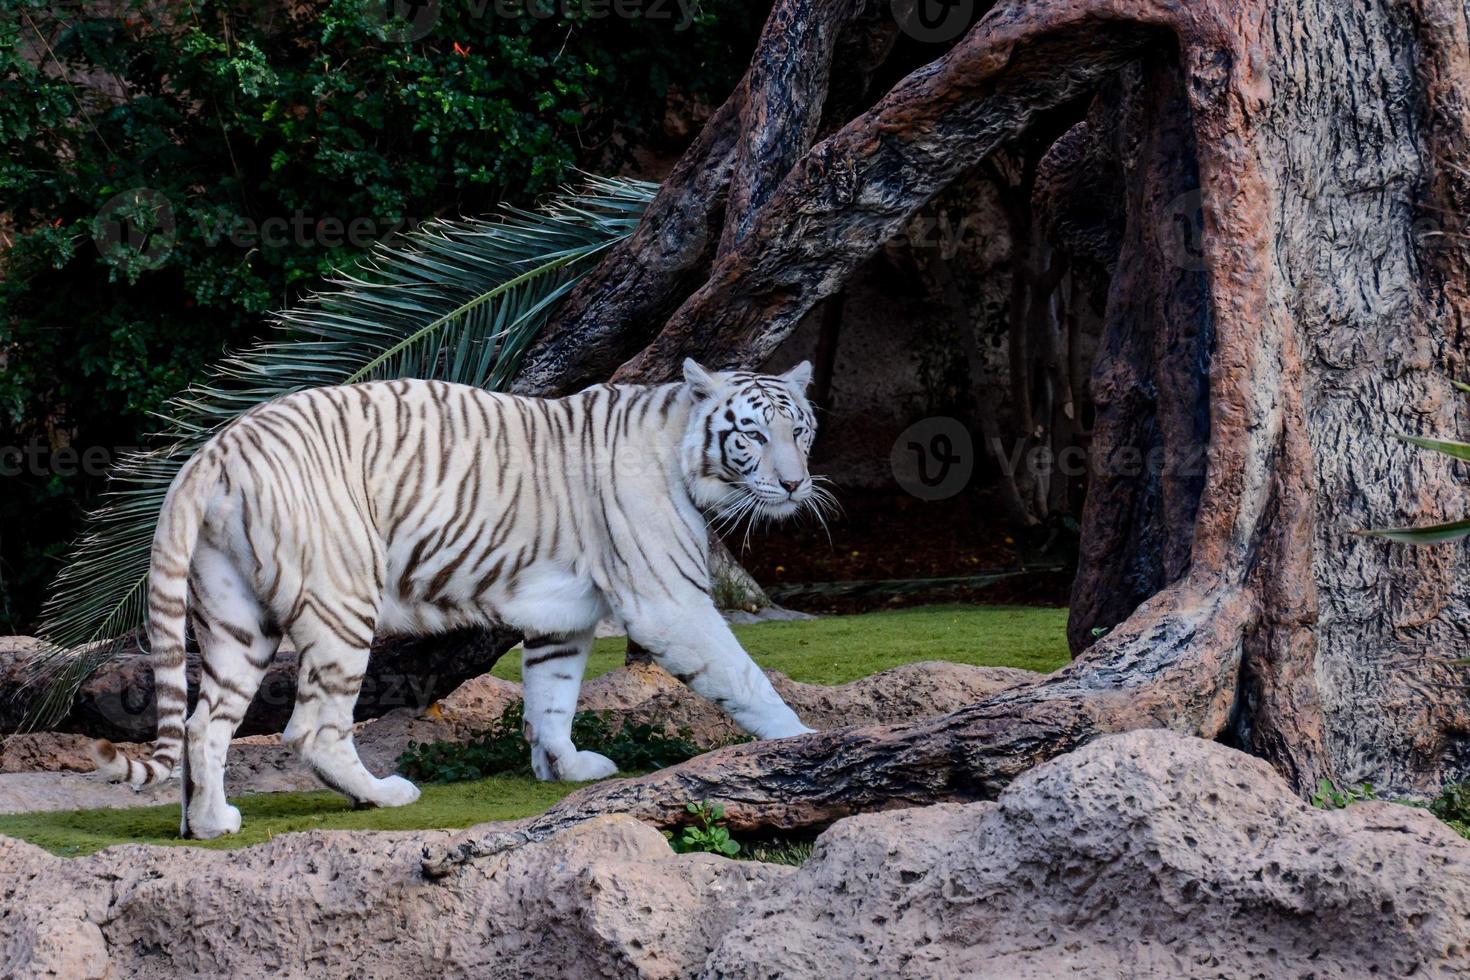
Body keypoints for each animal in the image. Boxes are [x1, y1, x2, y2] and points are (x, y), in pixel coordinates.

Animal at [91, 358, 829, 834]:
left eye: (801, 431)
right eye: (753, 434)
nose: (796, 484)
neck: (679, 443)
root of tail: (215, 448)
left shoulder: (561, 615)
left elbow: (552, 697)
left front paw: (565, 767)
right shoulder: (667, 601)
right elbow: (742, 673)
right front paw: (803, 740)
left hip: (236, 618)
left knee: (203, 723)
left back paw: (211, 823)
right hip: (342, 603)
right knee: (312, 729)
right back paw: (382, 795)